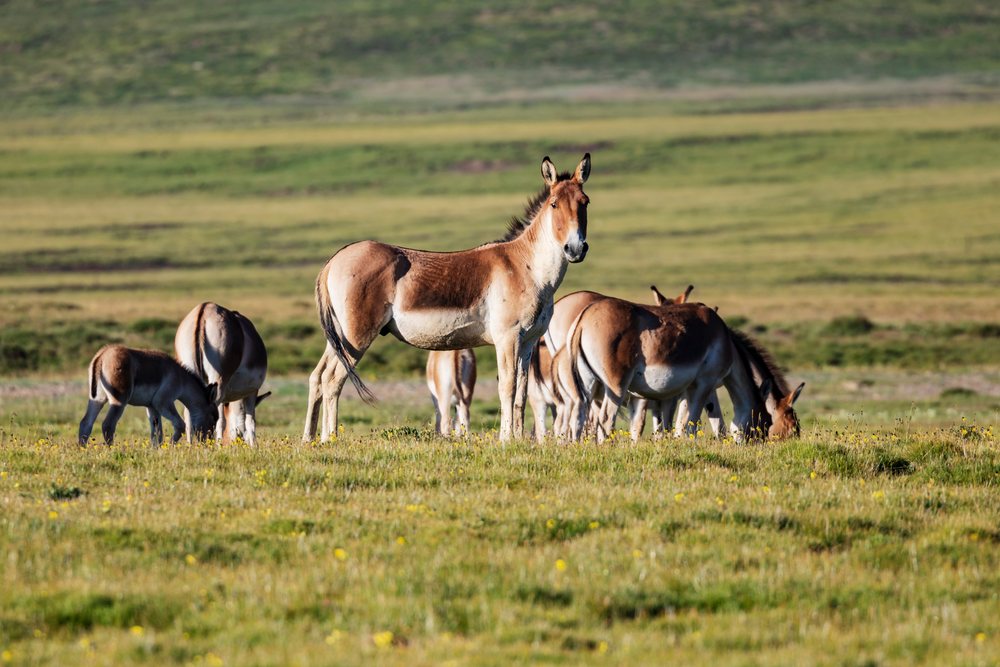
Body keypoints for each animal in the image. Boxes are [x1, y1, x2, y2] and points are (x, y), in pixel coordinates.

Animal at [79, 345, 218, 446]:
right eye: (214, 416)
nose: (209, 442)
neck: (181, 378)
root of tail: (102, 355)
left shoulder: (152, 407)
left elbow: (157, 434)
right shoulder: (163, 403)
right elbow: (180, 425)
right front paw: (170, 446)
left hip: (97, 400)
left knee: (86, 423)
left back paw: (82, 450)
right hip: (119, 402)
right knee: (107, 425)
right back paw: (112, 450)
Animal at [174, 302, 270, 446]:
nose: (228, 442)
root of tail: (204, 310)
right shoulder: (252, 392)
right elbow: (250, 423)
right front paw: (254, 447)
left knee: (188, 413)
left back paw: (191, 446)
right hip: (218, 383)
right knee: (219, 419)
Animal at [310, 154, 591, 442]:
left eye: (585, 202)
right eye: (554, 204)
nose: (575, 249)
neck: (526, 266)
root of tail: (333, 262)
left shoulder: (528, 342)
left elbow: (521, 393)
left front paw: (518, 439)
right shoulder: (507, 338)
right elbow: (507, 387)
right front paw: (505, 441)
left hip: (340, 336)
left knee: (318, 376)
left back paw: (310, 439)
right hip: (356, 335)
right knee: (333, 379)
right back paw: (330, 439)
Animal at [567, 299, 795, 443]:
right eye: (766, 422)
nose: (756, 445)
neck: (725, 340)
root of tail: (585, 317)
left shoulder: (689, 389)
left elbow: (685, 424)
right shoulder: (705, 383)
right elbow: (691, 423)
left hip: (587, 385)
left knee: (579, 415)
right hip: (616, 386)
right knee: (605, 419)